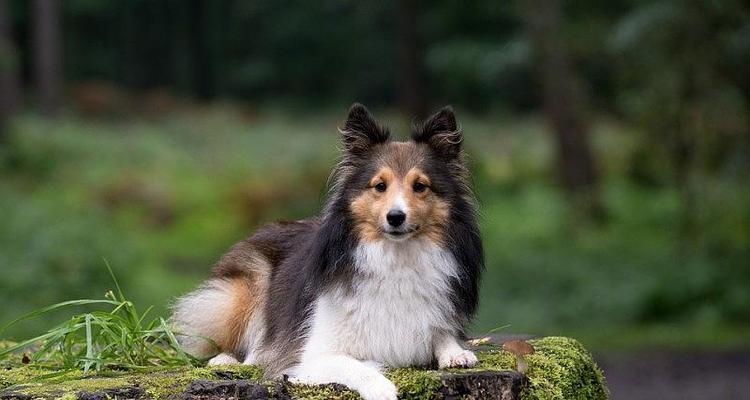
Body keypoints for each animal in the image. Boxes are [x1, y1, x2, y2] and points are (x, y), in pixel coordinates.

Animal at [173, 104, 484, 400]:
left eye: (420, 186)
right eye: (379, 186)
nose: (396, 217)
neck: (396, 259)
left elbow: (441, 334)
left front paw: (457, 353)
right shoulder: (312, 355)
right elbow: (353, 365)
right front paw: (382, 388)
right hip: (246, 287)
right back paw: (229, 359)